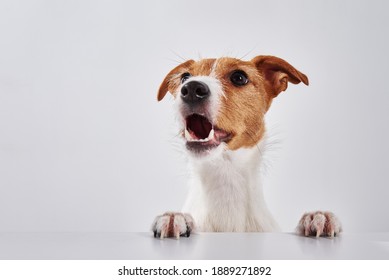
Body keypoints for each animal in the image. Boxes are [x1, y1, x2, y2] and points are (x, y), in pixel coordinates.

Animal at [152, 54, 340, 238]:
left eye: (239, 77)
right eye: (185, 77)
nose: (191, 88)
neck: (225, 177)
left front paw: (316, 217)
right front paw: (175, 218)